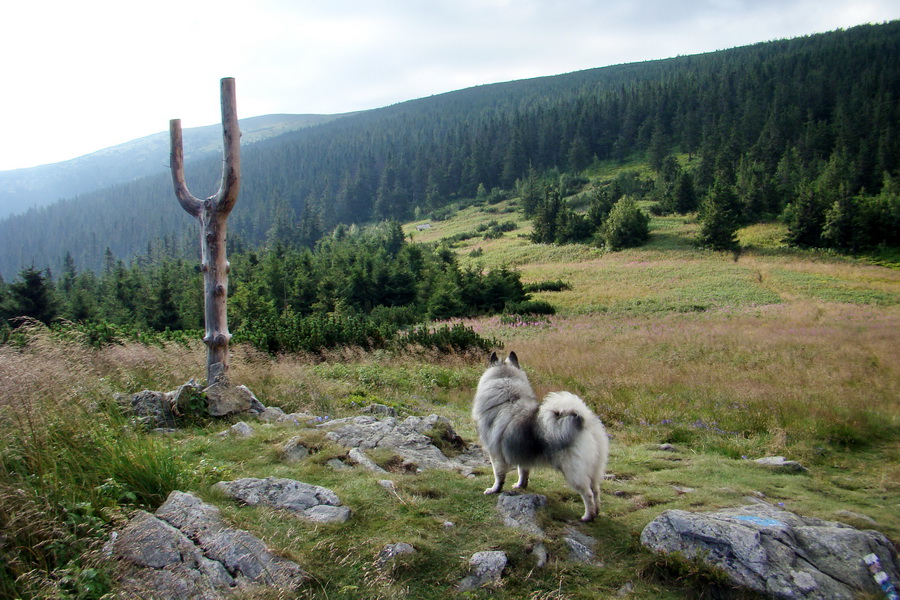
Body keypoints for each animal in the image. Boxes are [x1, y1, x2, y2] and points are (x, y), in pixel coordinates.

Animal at [472, 352, 612, 520]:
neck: (508, 399)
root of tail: (583, 421)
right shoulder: (521, 453)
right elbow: (522, 472)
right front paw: (521, 485)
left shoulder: (496, 455)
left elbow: (498, 476)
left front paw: (494, 490)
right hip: (594, 467)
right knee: (596, 490)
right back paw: (596, 511)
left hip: (573, 472)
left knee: (588, 494)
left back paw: (587, 516)